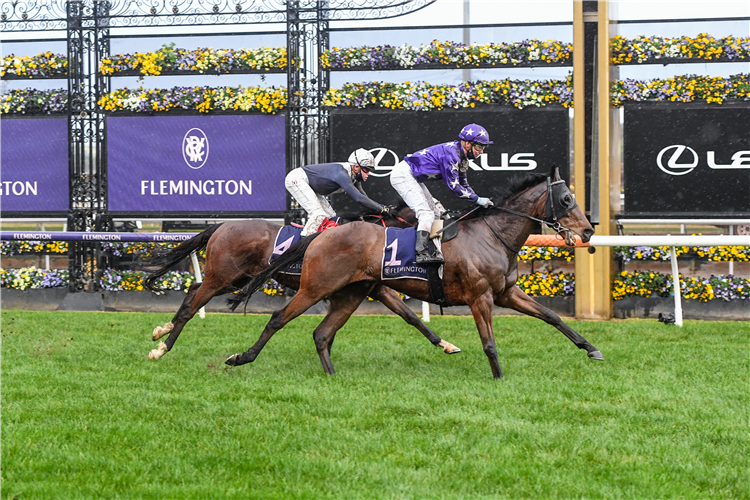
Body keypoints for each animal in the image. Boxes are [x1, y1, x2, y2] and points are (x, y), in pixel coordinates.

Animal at [140, 207, 458, 360]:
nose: (445, 235)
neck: (375, 235)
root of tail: (223, 225)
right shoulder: (373, 285)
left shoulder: (375, 287)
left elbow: (411, 318)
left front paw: (446, 344)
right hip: (222, 276)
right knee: (192, 306)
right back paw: (162, 347)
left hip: (232, 279)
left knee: (193, 291)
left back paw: (161, 331)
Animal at [228, 169, 604, 378]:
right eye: (567, 199)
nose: (587, 231)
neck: (491, 234)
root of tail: (323, 233)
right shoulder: (480, 297)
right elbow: (489, 343)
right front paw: (498, 378)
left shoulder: (505, 293)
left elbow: (552, 317)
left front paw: (591, 349)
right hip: (316, 286)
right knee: (278, 318)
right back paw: (241, 357)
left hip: (351, 293)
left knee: (322, 334)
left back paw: (332, 376)